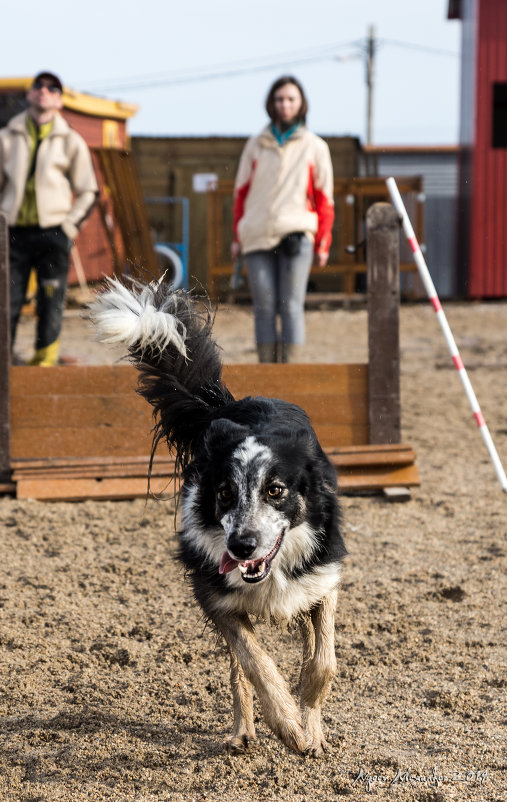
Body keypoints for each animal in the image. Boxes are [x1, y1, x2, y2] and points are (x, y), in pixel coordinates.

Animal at [89, 278, 348, 752]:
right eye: (224, 494)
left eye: (275, 490)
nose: (241, 546)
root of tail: (224, 405)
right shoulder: (215, 597)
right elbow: (255, 664)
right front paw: (286, 723)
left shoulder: (322, 580)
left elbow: (322, 661)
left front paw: (310, 723)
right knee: (239, 669)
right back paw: (243, 730)